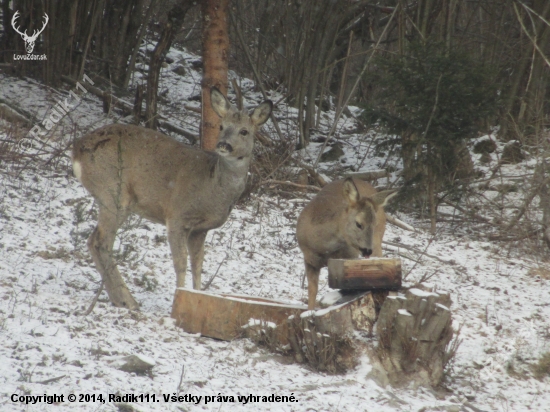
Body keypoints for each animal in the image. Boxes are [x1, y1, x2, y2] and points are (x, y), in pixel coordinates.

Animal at [71, 88, 274, 310]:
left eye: (244, 131)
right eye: (222, 126)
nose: (223, 144)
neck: (212, 186)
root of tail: (76, 151)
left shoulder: (200, 230)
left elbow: (198, 264)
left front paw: (197, 297)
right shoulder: (177, 216)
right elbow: (181, 263)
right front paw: (179, 298)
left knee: (94, 240)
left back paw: (119, 299)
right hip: (113, 192)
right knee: (100, 241)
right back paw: (128, 300)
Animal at [298, 177, 396, 308]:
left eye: (374, 225)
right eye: (358, 224)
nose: (367, 250)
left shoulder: (350, 256)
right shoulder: (309, 259)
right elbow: (312, 291)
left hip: (377, 240)